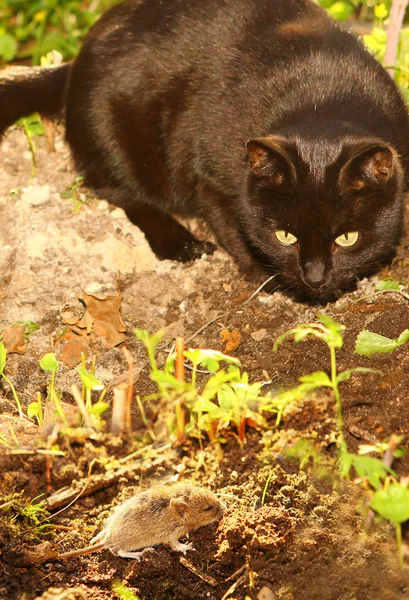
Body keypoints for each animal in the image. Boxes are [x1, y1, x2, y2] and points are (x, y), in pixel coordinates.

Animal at [0, 0, 408, 300]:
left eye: (347, 238)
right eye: (285, 236)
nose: (315, 277)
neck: (323, 99)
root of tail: (74, 62)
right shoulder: (211, 179)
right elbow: (234, 231)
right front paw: (266, 277)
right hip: (110, 134)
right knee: (117, 190)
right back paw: (182, 244)